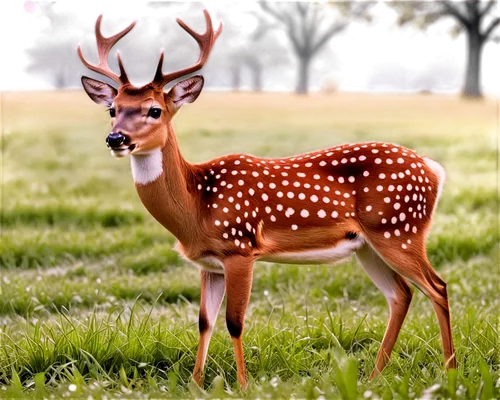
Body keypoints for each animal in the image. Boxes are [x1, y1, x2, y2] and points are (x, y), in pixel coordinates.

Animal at [76, 7, 456, 390]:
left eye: (154, 110)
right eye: (113, 109)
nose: (116, 139)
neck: (197, 207)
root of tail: (434, 170)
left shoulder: (240, 249)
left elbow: (234, 321)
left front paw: (242, 386)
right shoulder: (208, 264)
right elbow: (203, 322)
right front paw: (196, 384)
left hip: (399, 229)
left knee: (437, 286)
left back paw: (450, 371)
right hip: (369, 245)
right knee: (401, 295)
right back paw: (374, 377)